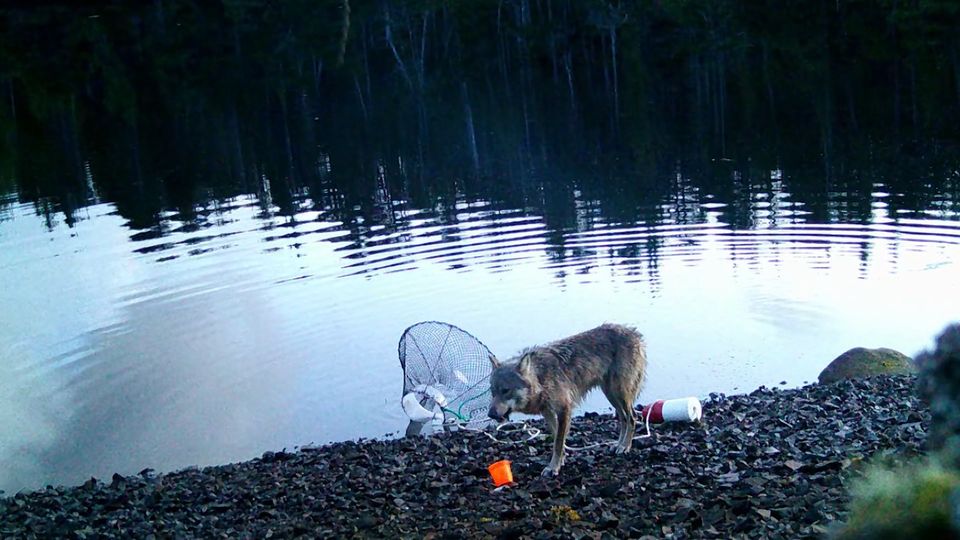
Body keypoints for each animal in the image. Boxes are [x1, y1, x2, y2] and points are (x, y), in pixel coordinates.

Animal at [487, 323, 647, 476]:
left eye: (505, 390)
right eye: (493, 392)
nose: (490, 414)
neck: (540, 378)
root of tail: (634, 333)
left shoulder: (564, 410)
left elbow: (558, 442)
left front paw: (553, 467)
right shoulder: (548, 412)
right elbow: (557, 437)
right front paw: (561, 460)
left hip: (619, 393)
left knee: (633, 417)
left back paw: (625, 446)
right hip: (612, 395)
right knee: (624, 418)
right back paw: (618, 445)